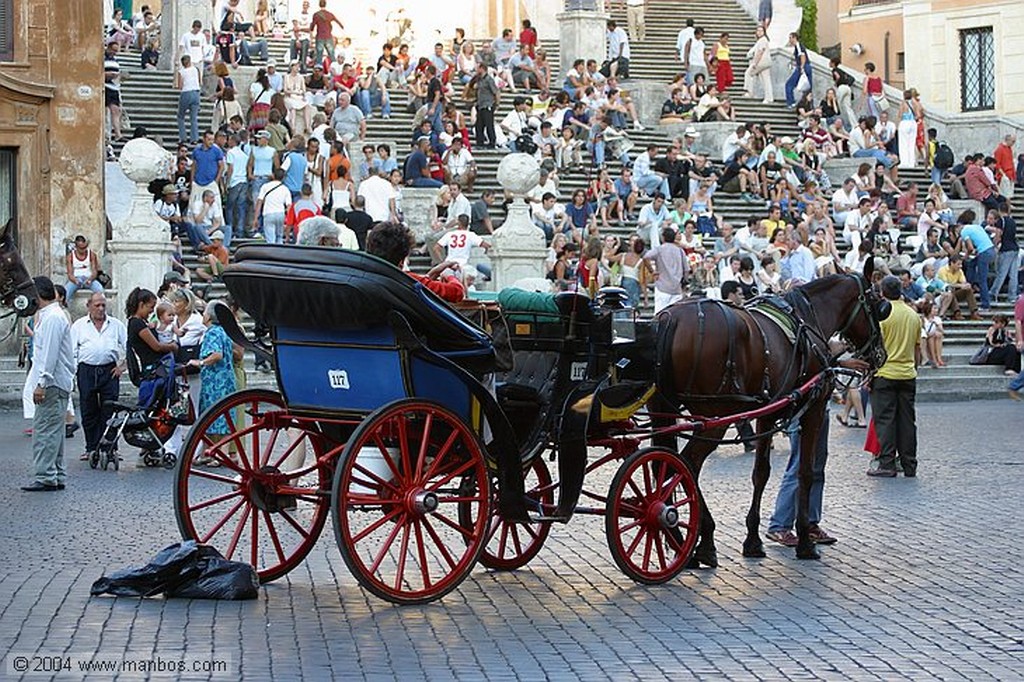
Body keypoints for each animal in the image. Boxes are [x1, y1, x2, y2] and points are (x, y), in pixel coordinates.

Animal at [655, 258, 888, 561]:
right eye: (880, 305)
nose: (880, 354)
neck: (809, 319)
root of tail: (670, 318)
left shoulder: (766, 414)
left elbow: (761, 473)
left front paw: (753, 539)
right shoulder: (812, 409)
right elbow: (805, 473)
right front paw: (805, 541)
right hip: (714, 416)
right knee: (687, 464)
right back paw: (703, 539)